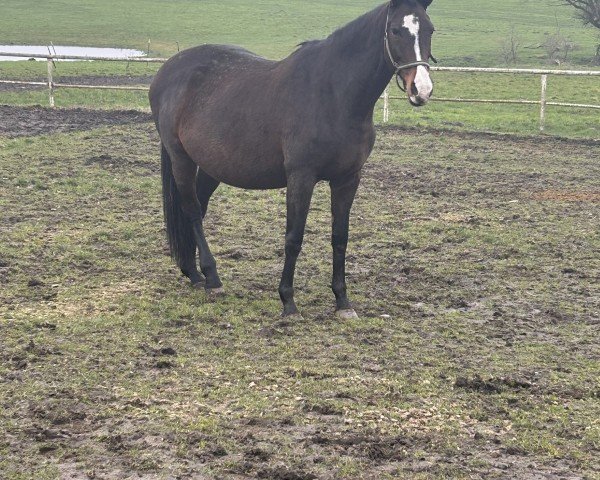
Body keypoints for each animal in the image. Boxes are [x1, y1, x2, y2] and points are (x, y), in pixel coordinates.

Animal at [148, 0, 434, 318]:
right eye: (396, 30)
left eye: (430, 30)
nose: (421, 90)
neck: (334, 95)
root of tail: (169, 69)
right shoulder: (301, 178)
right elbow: (294, 237)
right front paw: (288, 301)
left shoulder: (348, 179)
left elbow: (340, 237)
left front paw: (342, 301)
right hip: (181, 158)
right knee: (192, 210)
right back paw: (211, 277)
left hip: (213, 166)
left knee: (198, 206)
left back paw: (193, 272)